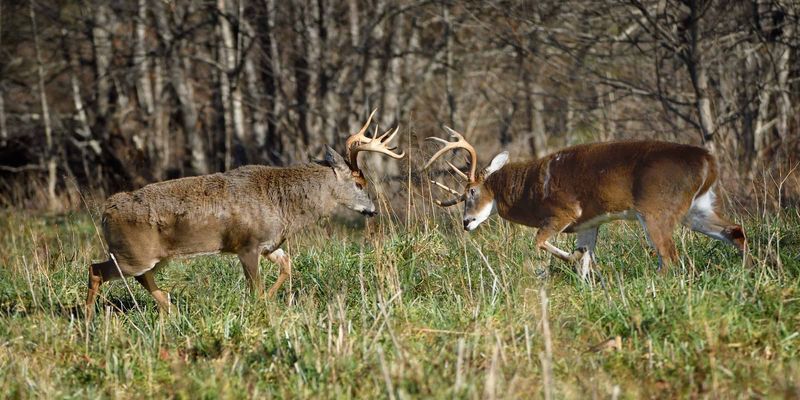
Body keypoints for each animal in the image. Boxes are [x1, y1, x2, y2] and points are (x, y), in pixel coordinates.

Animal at [85, 110, 404, 319]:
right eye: (359, 183)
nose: (373, 210)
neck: (285, 204)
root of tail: (106, 211)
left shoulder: (270, 244)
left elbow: (287, 267)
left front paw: (270, 302)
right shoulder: (247, 245)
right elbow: (256, 287)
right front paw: (261, 308)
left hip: (154, 257)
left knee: (140, 277)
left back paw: (170, 307)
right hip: (133, 254)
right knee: (96, 270)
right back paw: (90, 320)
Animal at [425, 127, 746, 280]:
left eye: (471, 192)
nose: (466, 222)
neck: (528, 190)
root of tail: (708, 161)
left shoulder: (562, 212)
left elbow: (541, 243)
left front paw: (573, 260)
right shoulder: (588, 224)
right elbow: (586, 256)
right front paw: (587, 280)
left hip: (657, 208)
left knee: (669, 257)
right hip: (697, 207)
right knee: (735, 231)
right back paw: (750, 270)